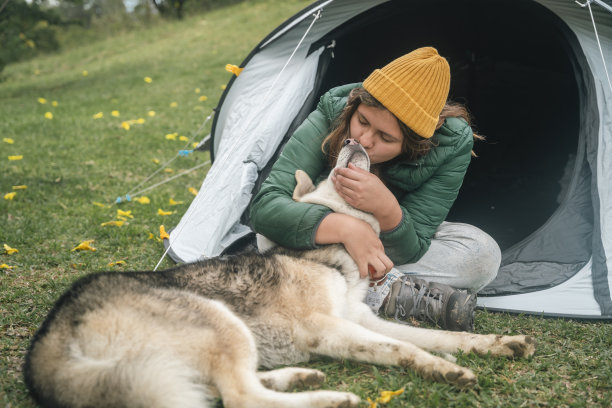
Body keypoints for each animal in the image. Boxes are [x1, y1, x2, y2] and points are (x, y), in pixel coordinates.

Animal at [23, 140, 532, 408]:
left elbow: (436, 336)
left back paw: (298, 379)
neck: (326, 254)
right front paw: (446, 370)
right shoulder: (326, 326)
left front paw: (495, 345)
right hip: (218, 321)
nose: (353, 142)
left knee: (226, 391)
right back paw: (331, 398)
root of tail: (46, 342)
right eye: (327, 175)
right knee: (240, 397)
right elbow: (404, 348)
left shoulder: (359, 319)